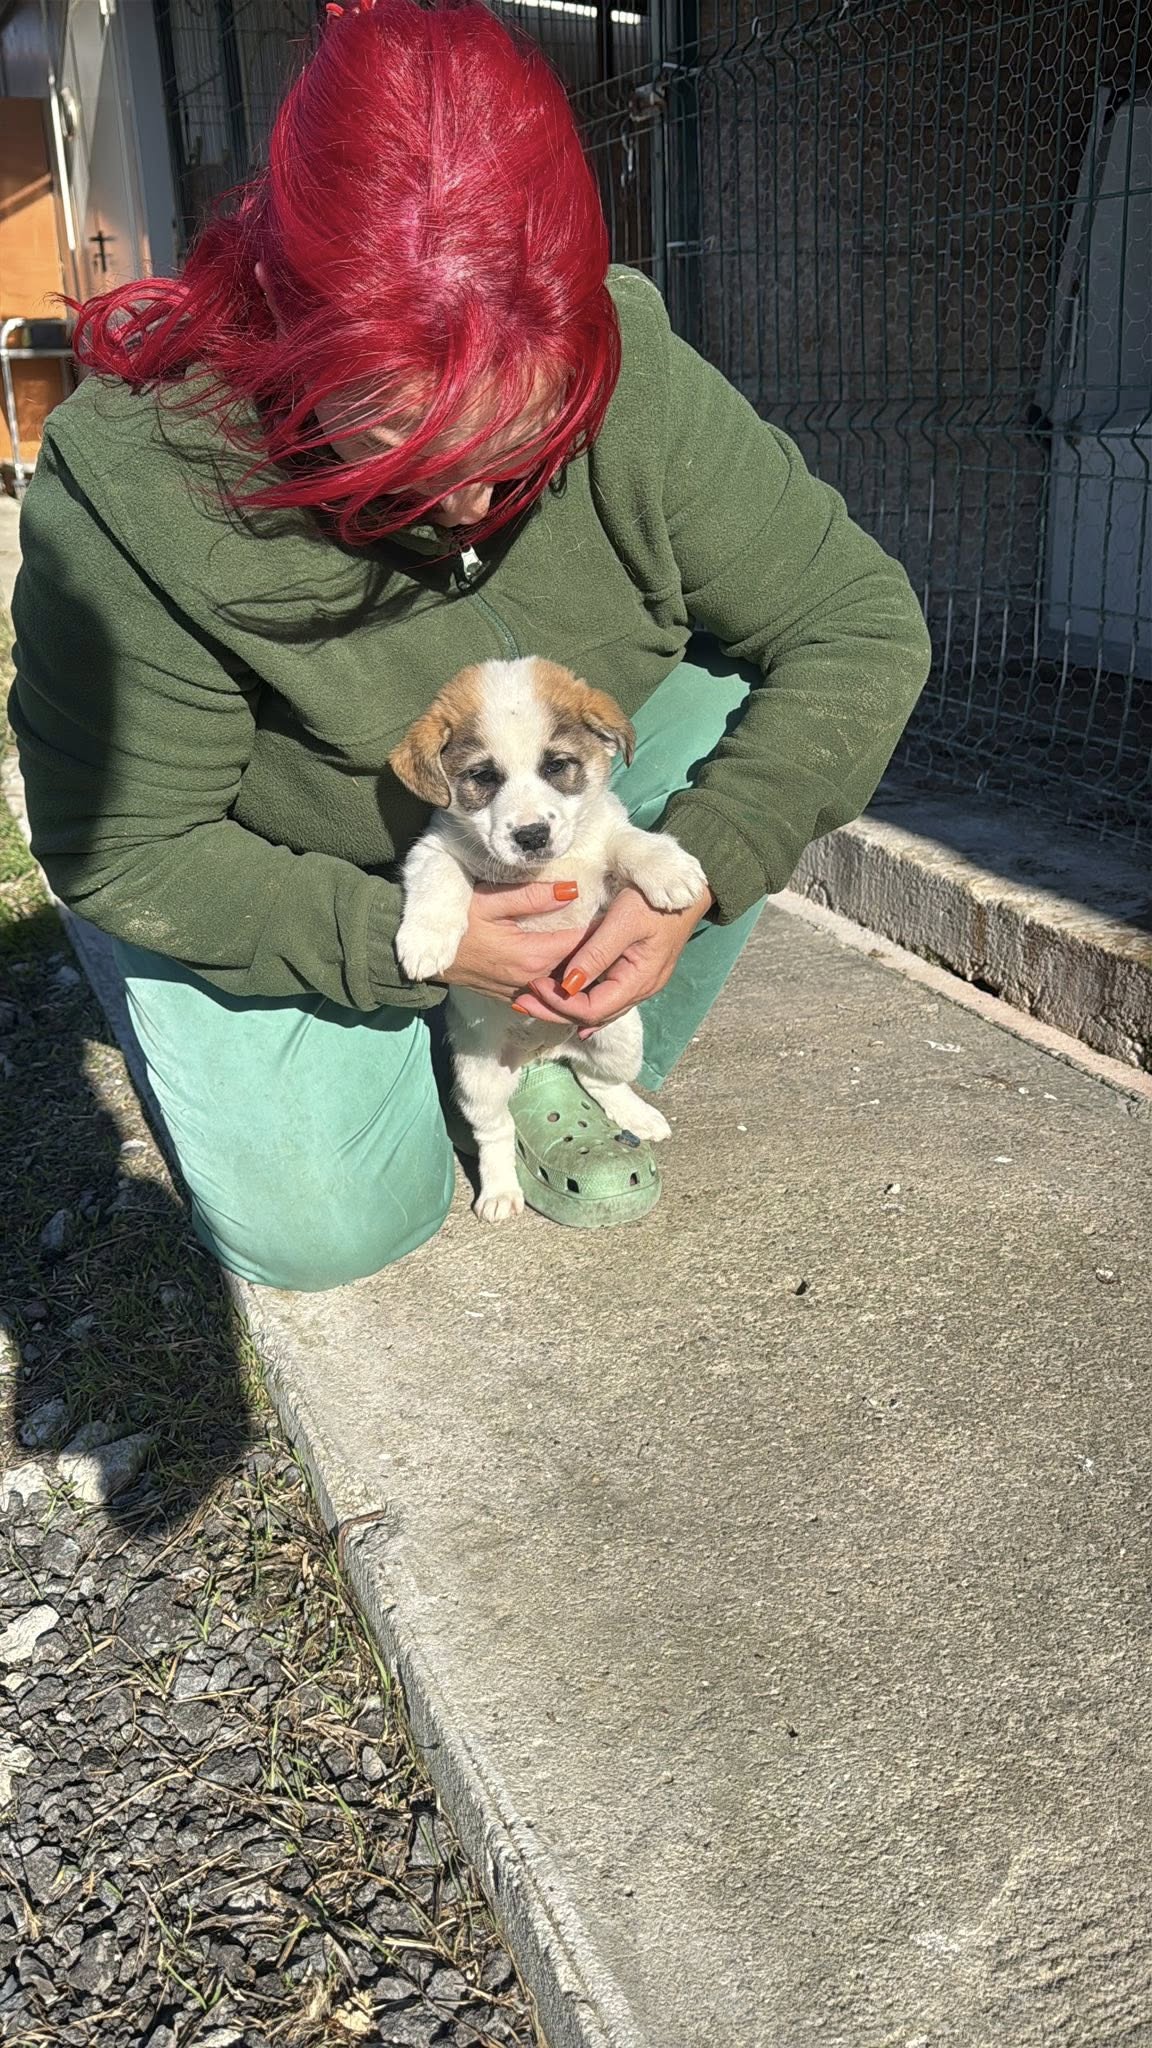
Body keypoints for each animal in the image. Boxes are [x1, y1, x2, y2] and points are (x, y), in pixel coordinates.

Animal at [389, 657, 708, 1222]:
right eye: (484, 777)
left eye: (557, 766)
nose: (532, 835)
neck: (545, 870)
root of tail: (540, 1051)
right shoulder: (434, 849)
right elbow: (439, 878)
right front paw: (427, 939)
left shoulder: (603, 853)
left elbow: (627, 839)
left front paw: (667, 868)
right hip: (479, 1077)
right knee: (496, 1131)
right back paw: (499, 1191)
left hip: (618, 1034)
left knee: (601, 1080)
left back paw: (639, 1115)